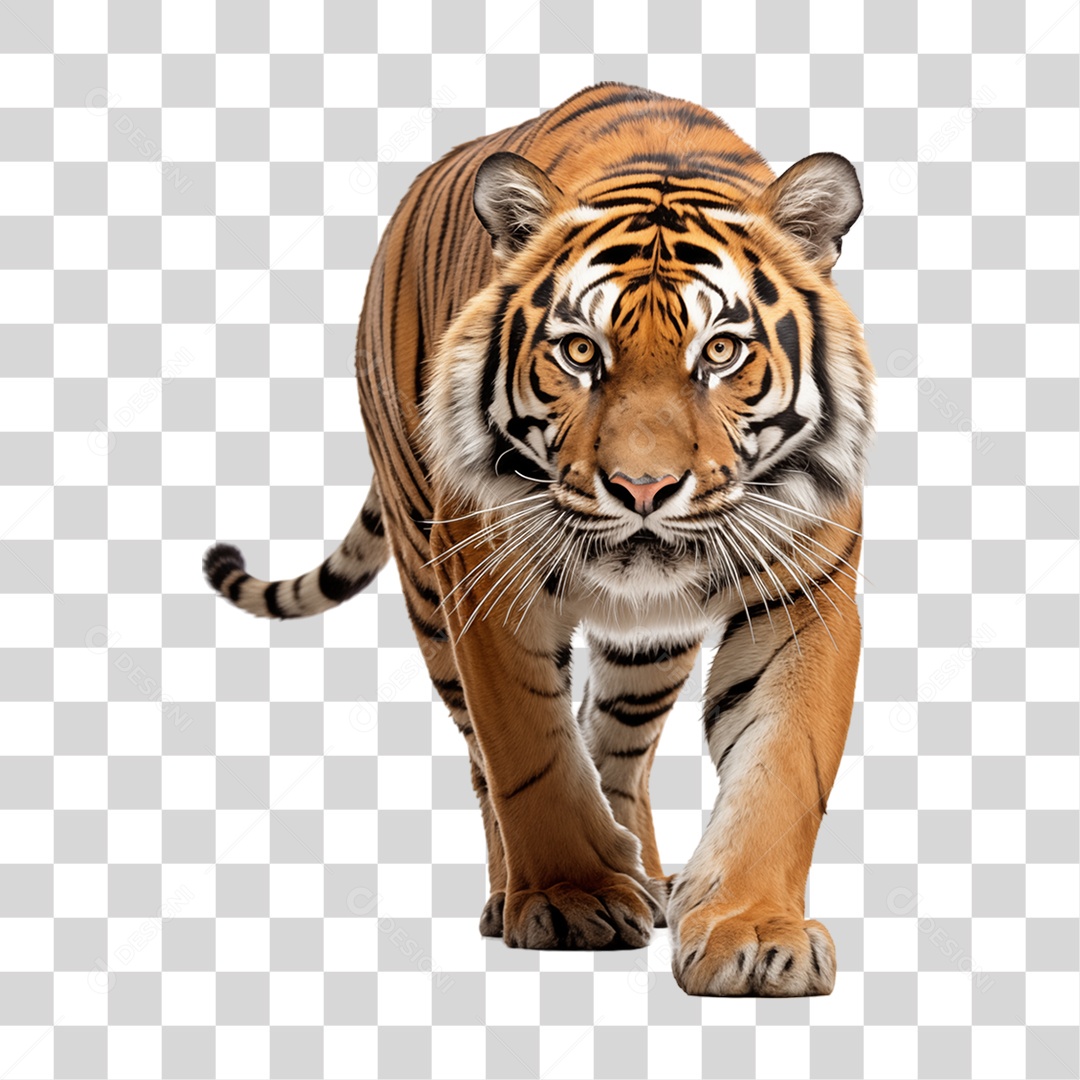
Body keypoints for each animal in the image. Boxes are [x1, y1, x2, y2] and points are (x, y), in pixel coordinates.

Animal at [204, 83, 874, 997]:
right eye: (581, 352)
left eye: (722, 351)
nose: (642, 489)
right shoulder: (486, 583)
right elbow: (528, 751)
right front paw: (569, 898)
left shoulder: (805, 595)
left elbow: (783, 768)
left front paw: (755, 933)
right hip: (427, 579)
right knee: (485, 758)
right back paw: (530, 891)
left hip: (649, 645)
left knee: (617, 741)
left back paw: (646, 877)